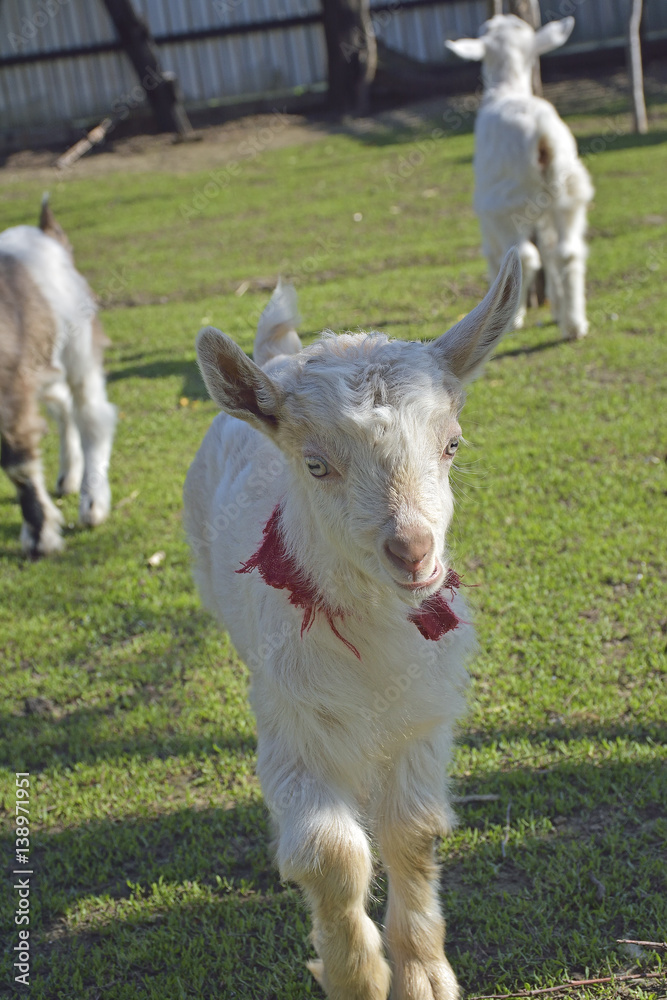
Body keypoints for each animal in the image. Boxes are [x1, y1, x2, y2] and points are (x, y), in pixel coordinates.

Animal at [0, 197, 116, 556]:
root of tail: (45, 233)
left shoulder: (10, 391)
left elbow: (17, 464)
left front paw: (40, 537)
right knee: (64, 405)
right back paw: (68, 476)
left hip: (77, 344)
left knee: (92, 414)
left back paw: (92, 502)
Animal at [184, 249, 521, 1000]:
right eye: (315, 465)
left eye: (452, 445)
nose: (413, 551)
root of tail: (275, 359)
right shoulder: (293, 722)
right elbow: (331, 854)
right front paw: (357, 977)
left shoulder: (424, 718)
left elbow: (413, 832)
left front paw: (422, 974)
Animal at [446, 15, 594, 340]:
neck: (508, 87)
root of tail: (543, 134)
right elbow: (550, 251)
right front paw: (556, 309)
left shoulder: (487, 213)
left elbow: (494, 254)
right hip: (569, 193)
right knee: (567, 252)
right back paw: (574, 324)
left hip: (507, 202)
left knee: (524, 256)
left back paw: (514, 320)